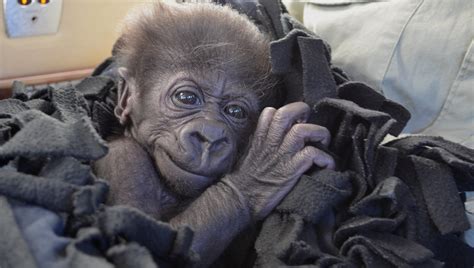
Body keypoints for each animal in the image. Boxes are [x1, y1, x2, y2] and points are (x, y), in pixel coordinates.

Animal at [94, 2, 336, 266]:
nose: (210, 136)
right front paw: (264, 168)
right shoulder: (122, 159)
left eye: (235, 111)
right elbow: (142, 245)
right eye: (186, 98)